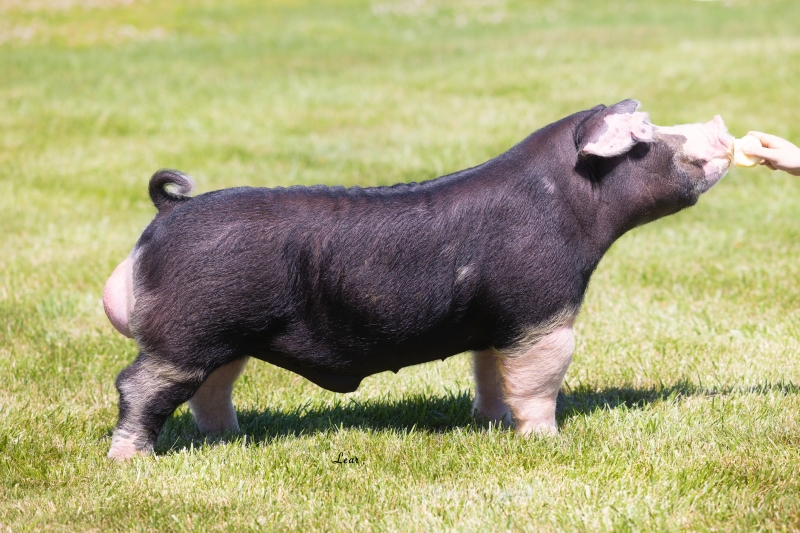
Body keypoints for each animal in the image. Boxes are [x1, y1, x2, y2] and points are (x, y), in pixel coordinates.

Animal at [103, 99, 734, 460]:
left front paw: (490, 424)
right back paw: (131, 461)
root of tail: (168, 214)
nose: (723, 129)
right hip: (183, 334)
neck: (566, 205)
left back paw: (229, 440)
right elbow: (539, 380)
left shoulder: (494, 324)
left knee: (212, 388)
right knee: (140, 385)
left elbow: (490, 374)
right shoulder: (541, 311)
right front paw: (547, 441)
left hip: (222, 335)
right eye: (645, 139)